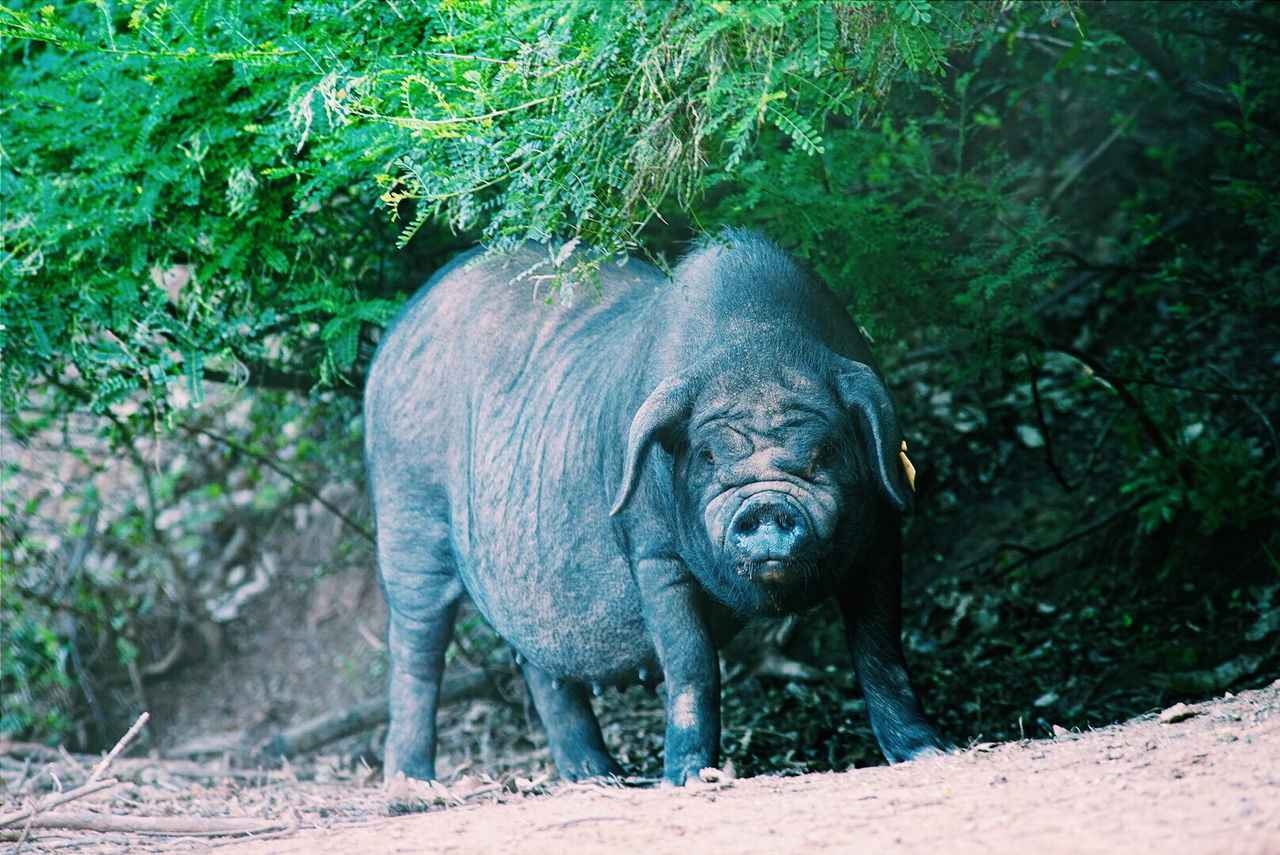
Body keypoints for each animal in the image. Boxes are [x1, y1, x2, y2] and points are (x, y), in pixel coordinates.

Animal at [360, 229, 952, 788]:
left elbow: (880, 650)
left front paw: (929, 752)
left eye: (826, 450)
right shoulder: (652, 552)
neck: (755, 340)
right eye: (708, 455)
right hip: (407, 512)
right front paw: (690, 779)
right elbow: (691, 662)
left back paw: (598, 776)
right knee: (415, 646)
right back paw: (411, 786)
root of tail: (396, 334)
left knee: (539, 663)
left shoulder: (882, 532)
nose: (765, 503)